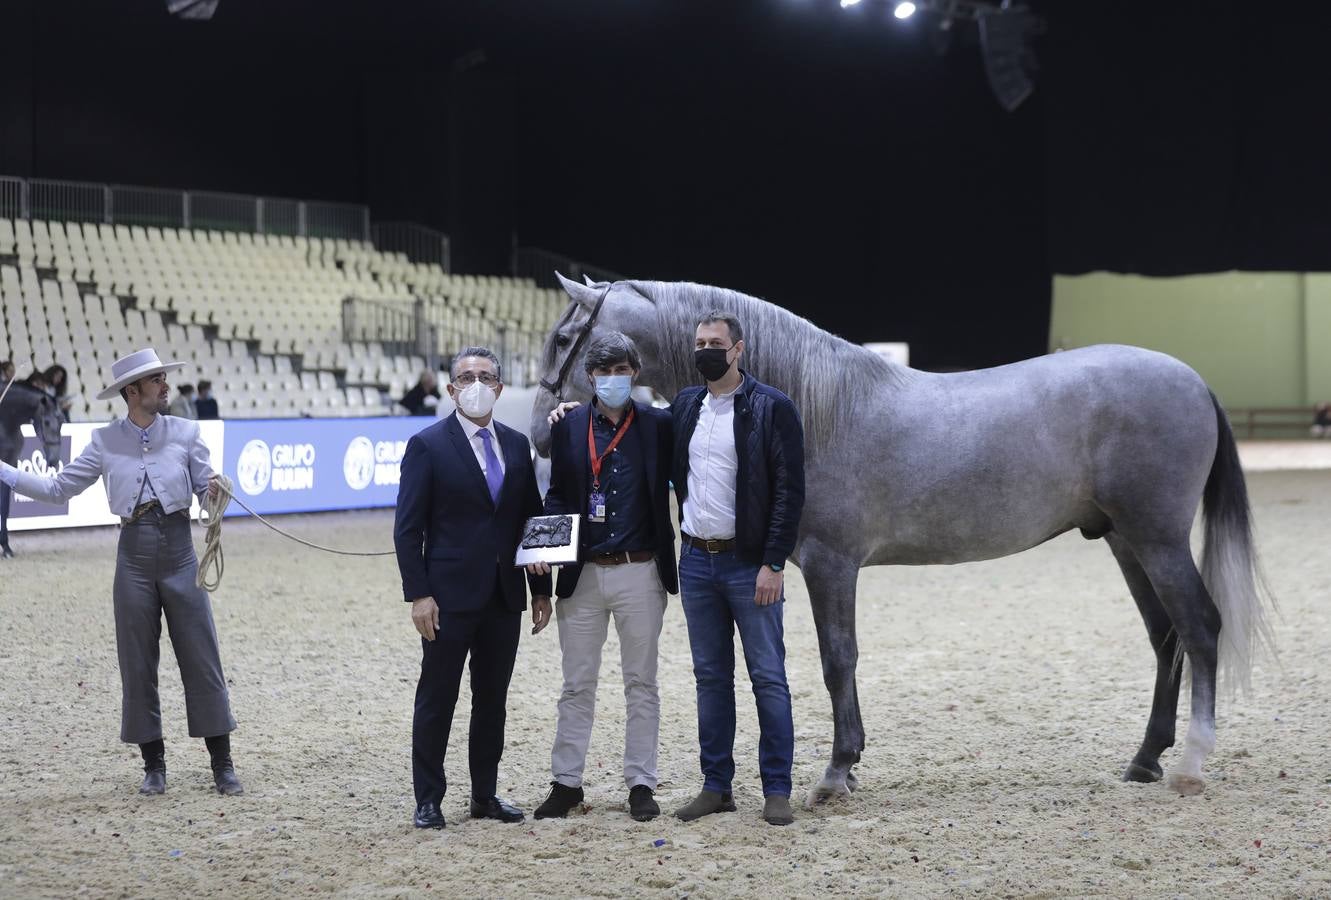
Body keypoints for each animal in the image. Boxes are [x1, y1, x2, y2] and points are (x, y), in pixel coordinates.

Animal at [527, 272, 1267, 804]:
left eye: (563, 340)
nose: (539, 432)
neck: (816, 407)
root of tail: (1192, 380)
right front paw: (847, 766)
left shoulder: (830, 565)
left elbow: (837, 660)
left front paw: (835, 773)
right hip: (1126, 542)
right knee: (1166, 638)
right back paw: (1145, 759)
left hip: (1159, 540)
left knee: (1200, 628)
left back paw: (1191, 763)